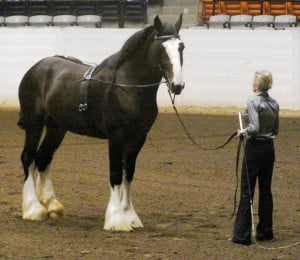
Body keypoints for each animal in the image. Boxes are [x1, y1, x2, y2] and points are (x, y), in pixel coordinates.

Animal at [18, 14, 185, 232]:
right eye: (161, 48)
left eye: (181, 47)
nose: (177, 85)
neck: (128, 86)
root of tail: (35, 68)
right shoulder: (116, 136)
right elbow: (115, 174)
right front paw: (116, 219)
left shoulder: (138, 138)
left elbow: (128, 174)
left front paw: (130, 216)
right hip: (34, 124)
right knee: (28, 158)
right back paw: (33, 209)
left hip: (57, 127)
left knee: (43, 158)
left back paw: (52, 206)